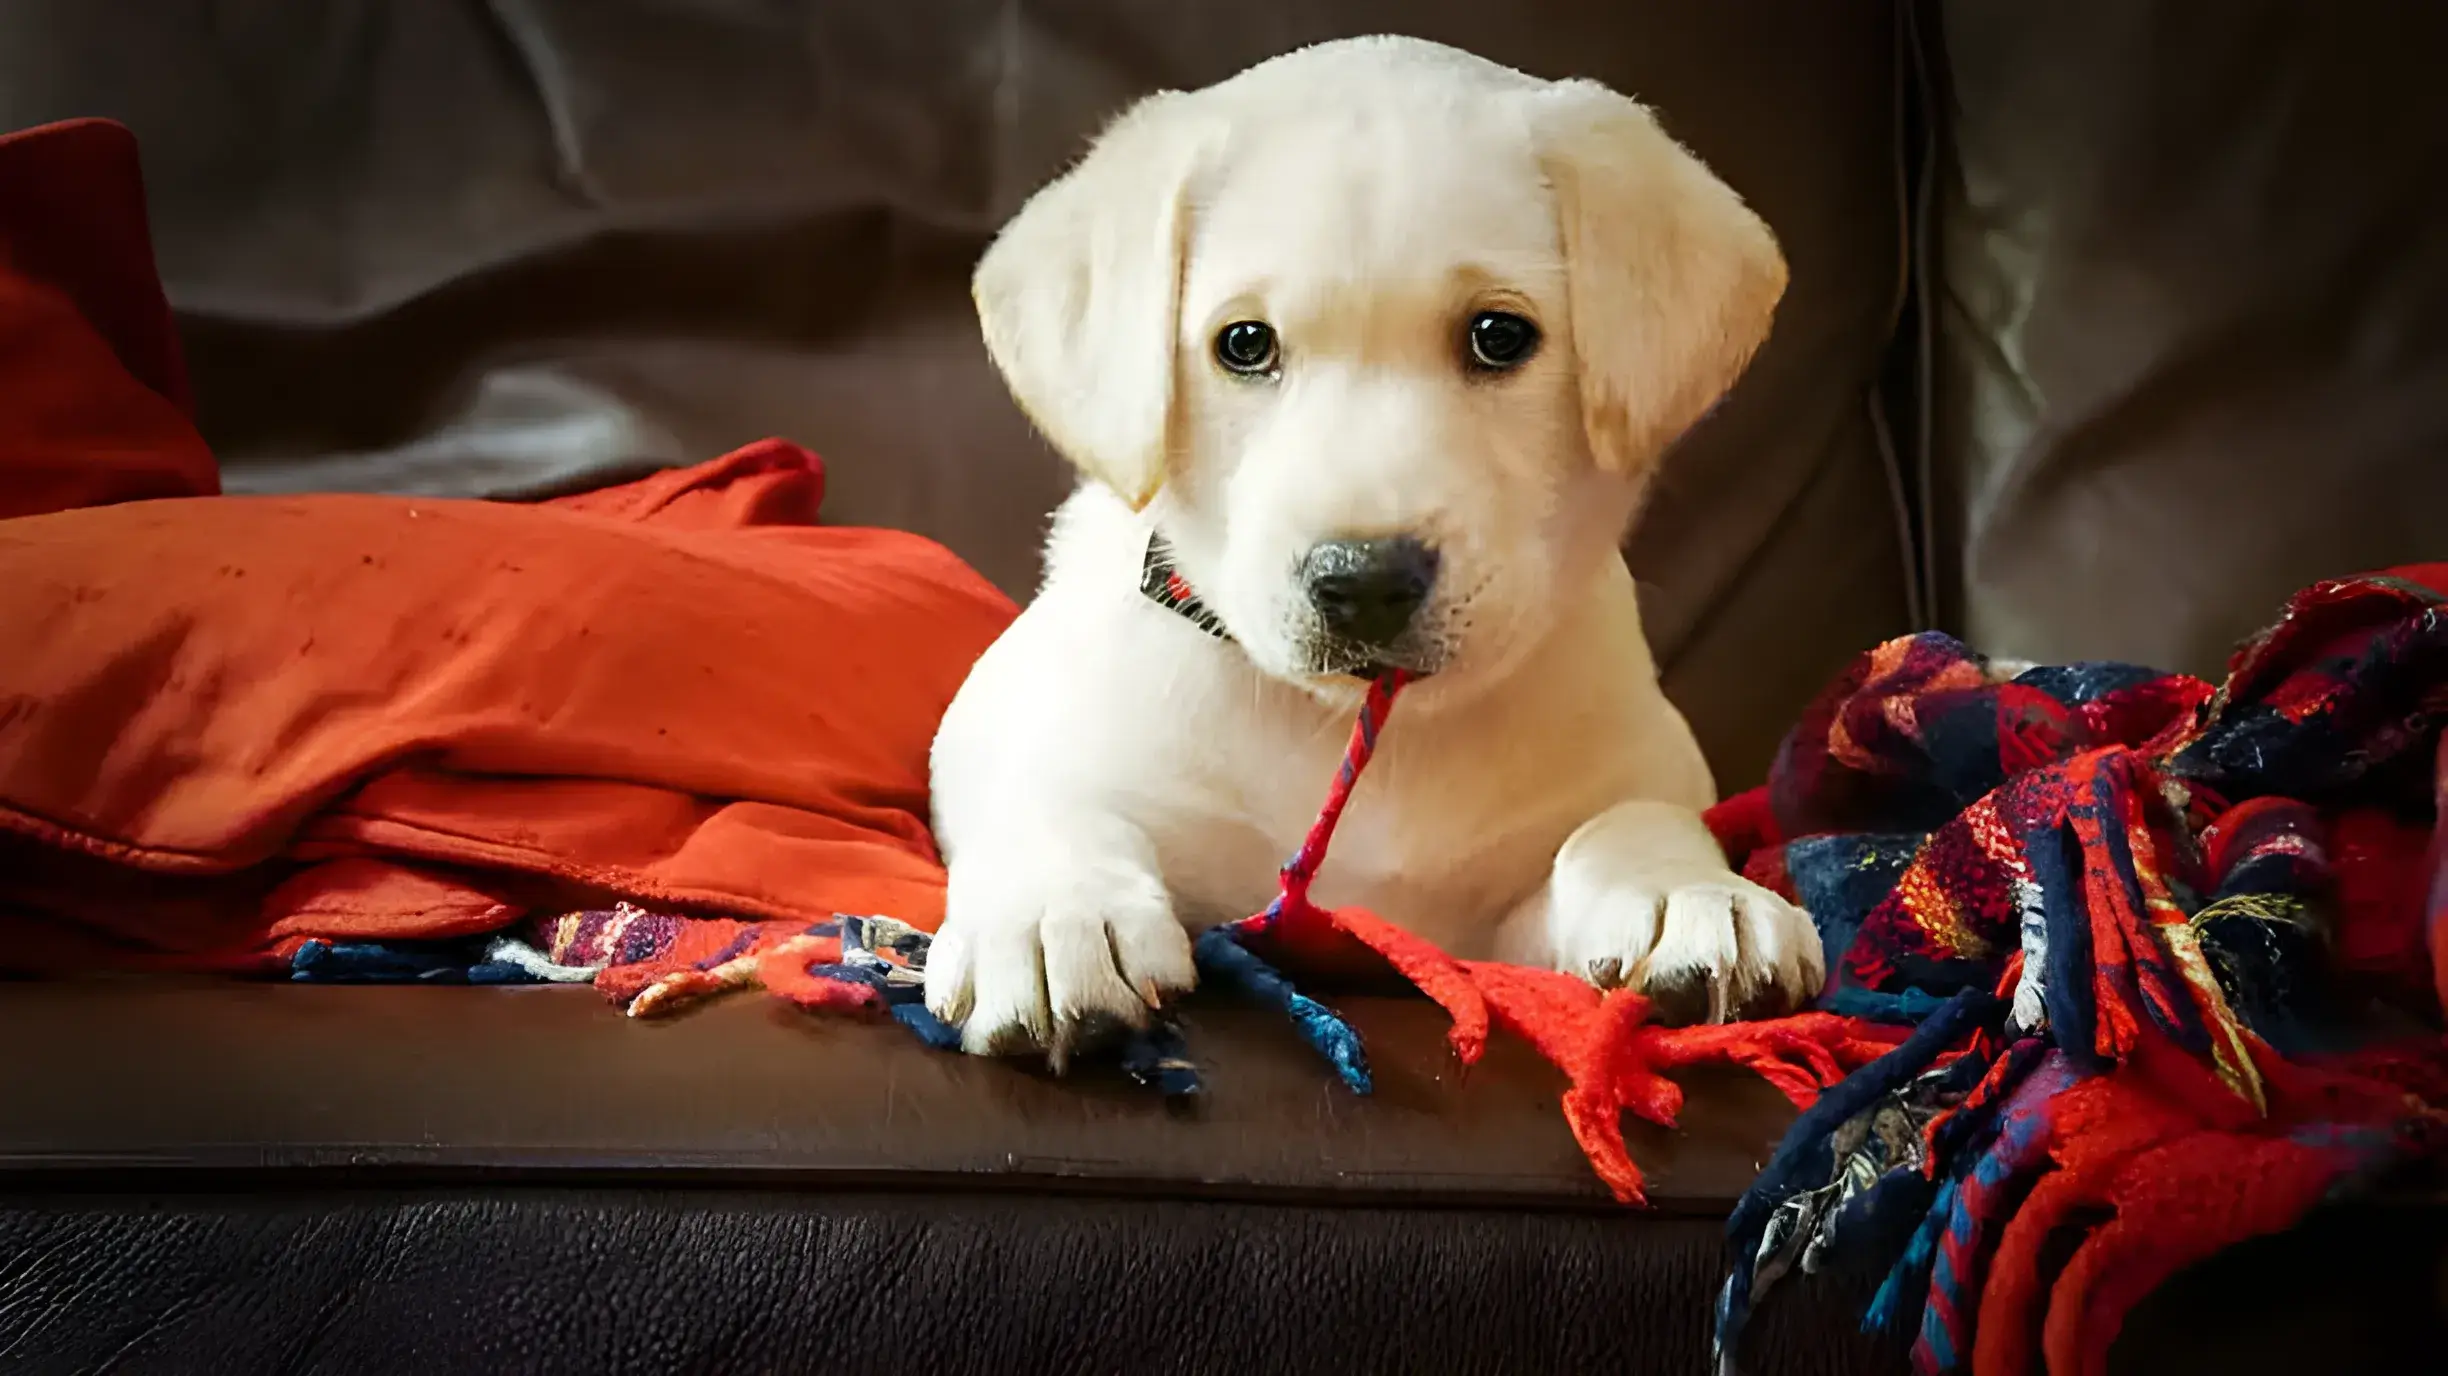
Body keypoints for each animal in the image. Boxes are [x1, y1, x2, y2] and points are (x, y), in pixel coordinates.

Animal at [925, 34, 1831, 1062]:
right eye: (1244, 344)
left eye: (1499, 335)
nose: (1363, 583)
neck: (1367, 726)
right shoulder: (1008, 726)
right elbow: (1044, 802)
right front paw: (1054, 915)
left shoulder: (1516, 907)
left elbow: (1632, 817)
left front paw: (1690, 892)